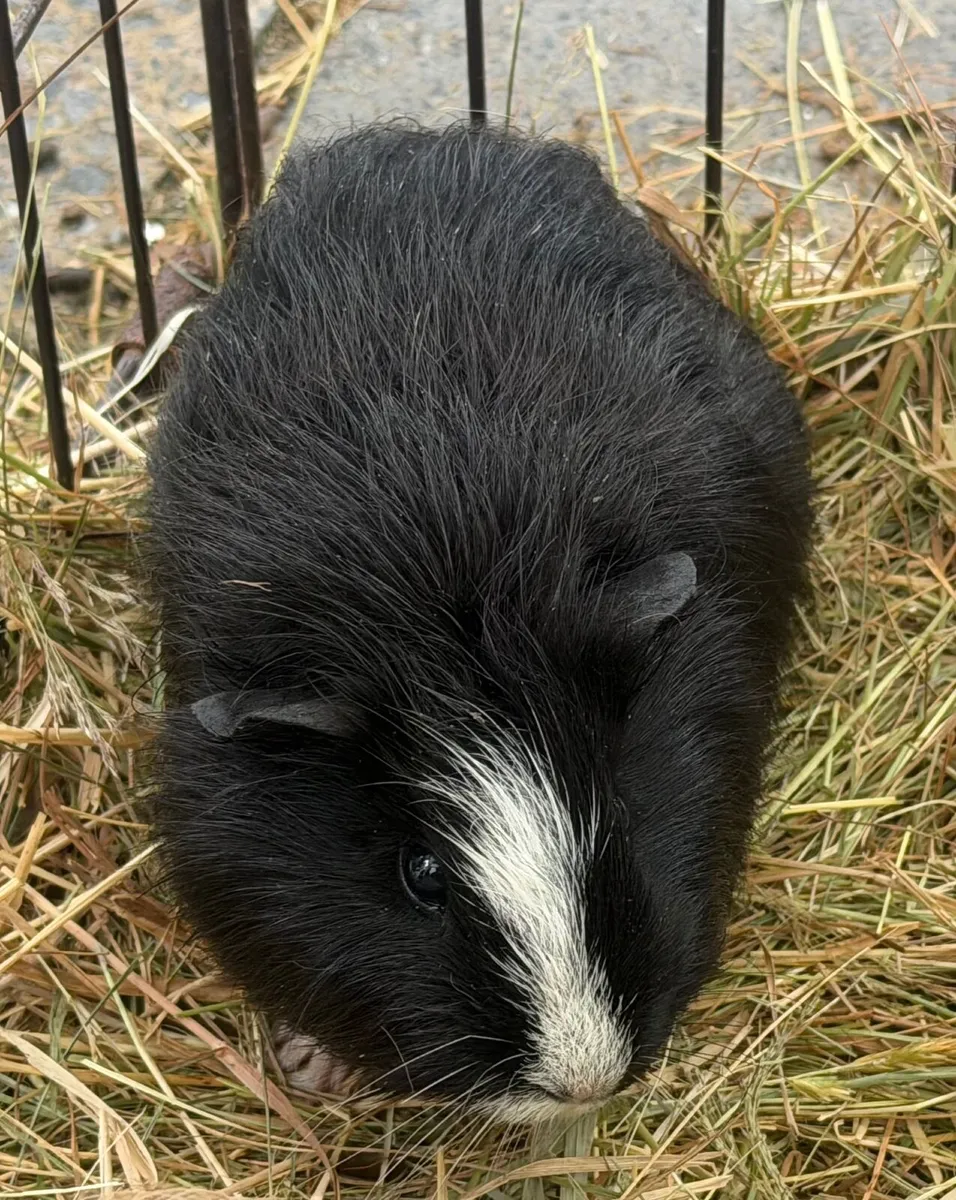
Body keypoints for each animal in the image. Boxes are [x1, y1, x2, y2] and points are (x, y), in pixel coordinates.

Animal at [147, 123, 812, 1123]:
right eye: (421, 875)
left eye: (617, 815)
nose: (584, 1081)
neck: (448, 610)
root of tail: (432, 140)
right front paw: (312, 1063)